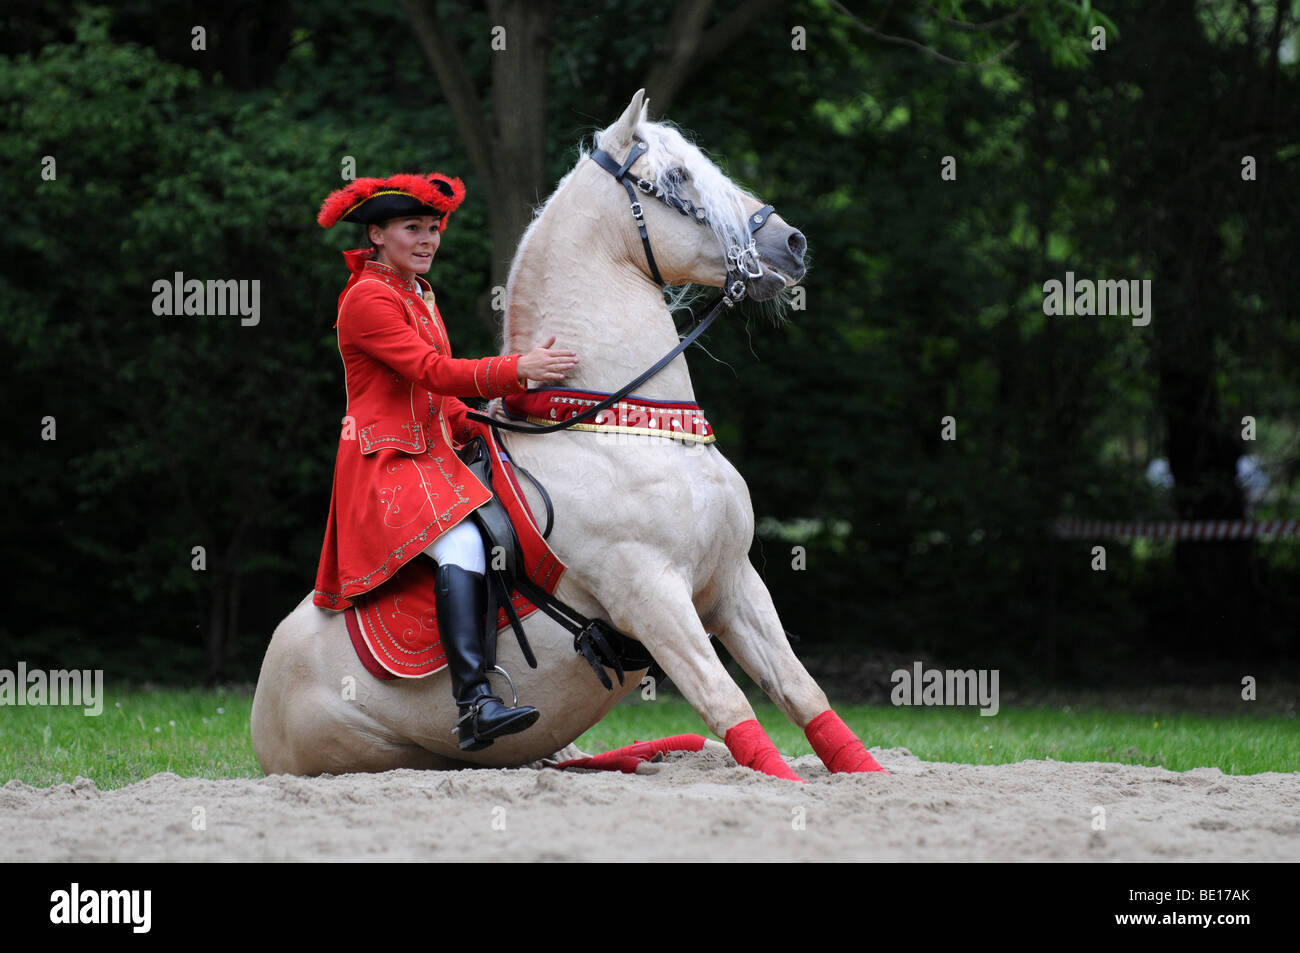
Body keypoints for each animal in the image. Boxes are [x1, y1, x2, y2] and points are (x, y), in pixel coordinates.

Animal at [249, 87, 889, 780]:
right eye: (678, 177)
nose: (791, 242)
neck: (625, 431)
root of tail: (260, 706)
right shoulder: (652, 594)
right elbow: (726, 700)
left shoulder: (733, 584)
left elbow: (802, 691)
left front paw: (866, 775)